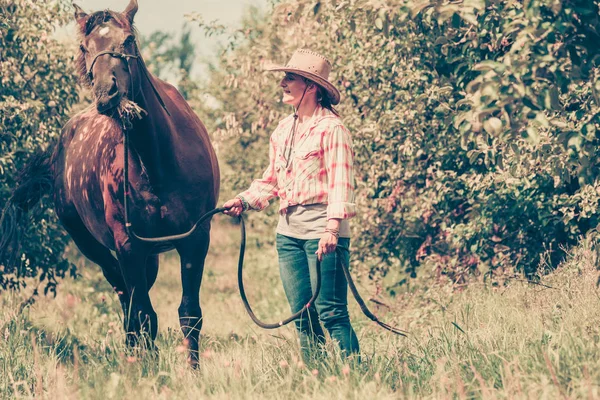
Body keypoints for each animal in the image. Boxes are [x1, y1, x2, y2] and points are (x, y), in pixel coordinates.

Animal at [4, 0, 220, 368]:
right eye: (83, 47)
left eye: (129, 39)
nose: (108, 93)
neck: (159, 162)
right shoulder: (128, 244)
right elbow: (143, 314)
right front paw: (149, 370)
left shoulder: (195, 239)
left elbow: (190, 314)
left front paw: (193, 372)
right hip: (95, 246)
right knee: (126, 297)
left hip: (150, 256)